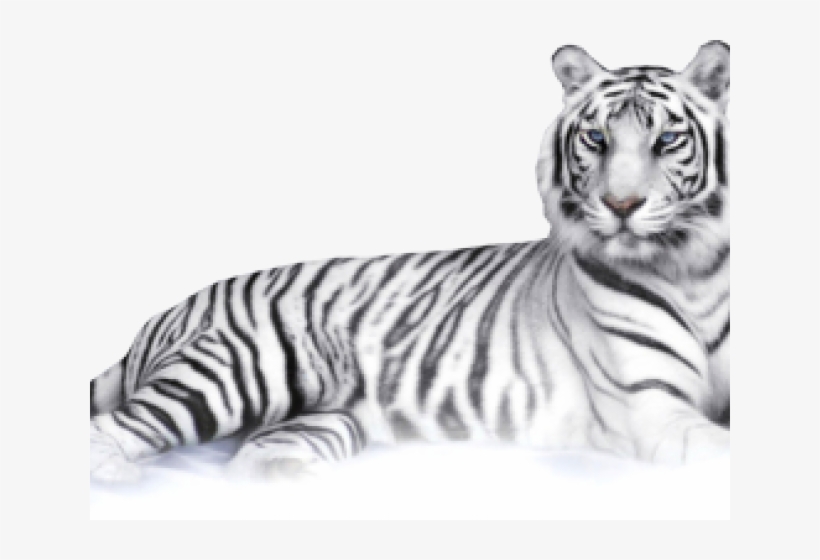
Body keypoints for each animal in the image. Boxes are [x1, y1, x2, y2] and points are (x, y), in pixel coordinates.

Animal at [90, 41, 730, 482]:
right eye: (596, 140)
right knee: (115, 425)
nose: (621, 206)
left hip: (322, 418)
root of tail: (164, 312)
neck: (694, 273)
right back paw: (118, 474)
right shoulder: (653, 408)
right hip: (233, 372)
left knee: (249, 458)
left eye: (666, 142)